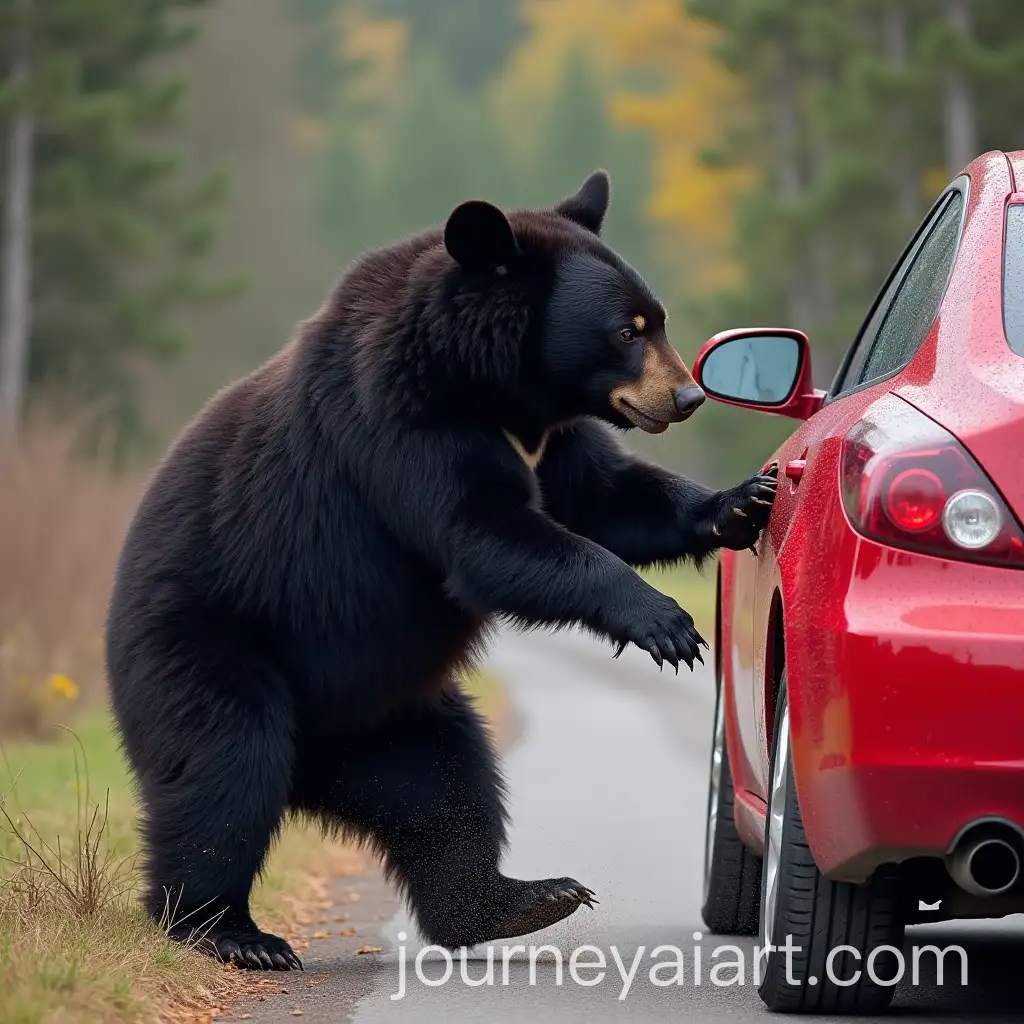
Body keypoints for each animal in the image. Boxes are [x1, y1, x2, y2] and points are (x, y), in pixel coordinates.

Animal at [106, 170, 777, 971]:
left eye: (659, 320)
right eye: (627, 331)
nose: (686, 395)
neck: (492, 388)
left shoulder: (548, 440)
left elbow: (606, 496)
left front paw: (741, 502)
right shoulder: (400, 428)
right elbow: (486, 534)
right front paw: (666, 623)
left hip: (398, 720)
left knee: (447, 795)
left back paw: (522, 897)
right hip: (206, 647)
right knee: (225, 769)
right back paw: (230, 931)